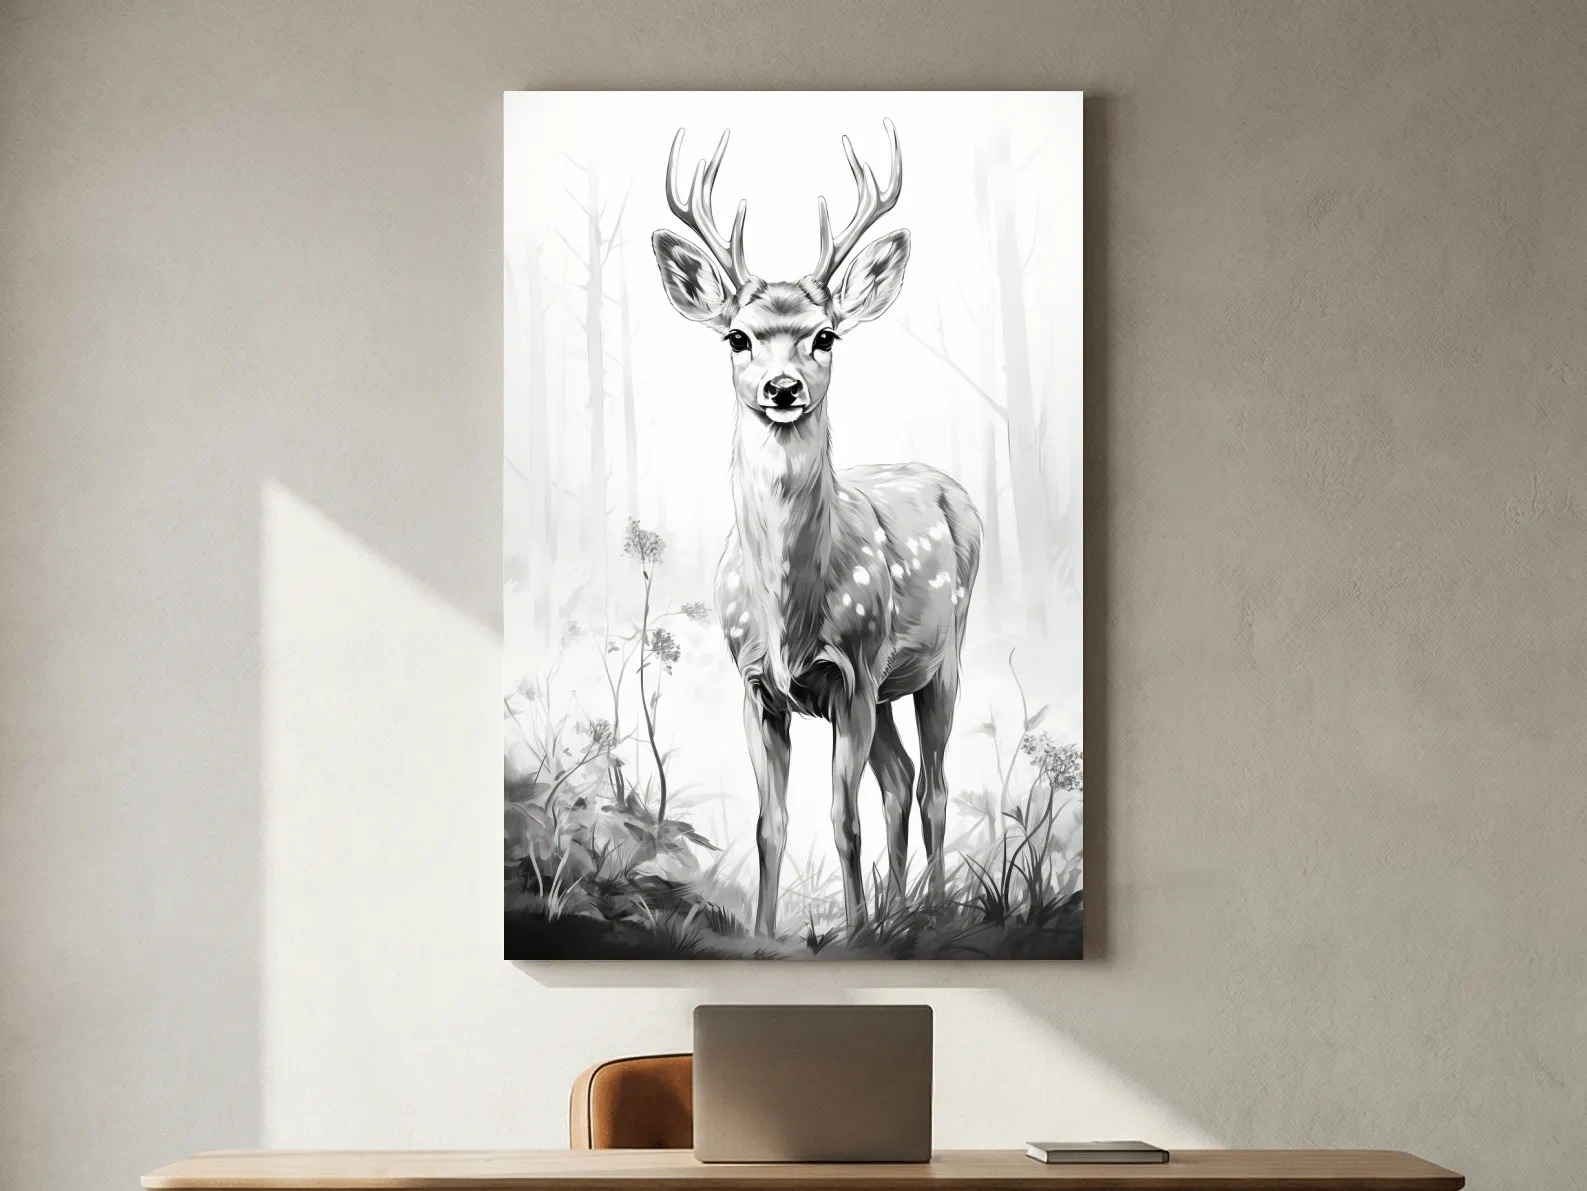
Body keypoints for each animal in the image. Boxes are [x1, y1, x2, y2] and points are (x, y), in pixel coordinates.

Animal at [651, 120, 982, 937]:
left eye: (826, 336)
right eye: (736, 338)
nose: (782, 387)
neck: (788, 618)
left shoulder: (852, 673)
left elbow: (842, 818)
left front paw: (856, 934)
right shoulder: (756, 687)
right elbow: (769, 825)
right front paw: (766, 936)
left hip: (943, 657)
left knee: (932, 783)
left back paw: (927, 913)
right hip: (891, 686)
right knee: (900, 777)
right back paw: (899, 911)